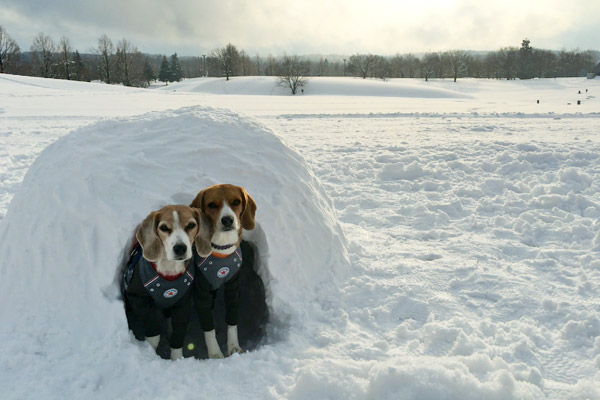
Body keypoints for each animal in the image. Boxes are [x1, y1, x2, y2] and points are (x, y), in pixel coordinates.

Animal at [122, 206, 211, 360]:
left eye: (191, 225)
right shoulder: (138, 299)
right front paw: (151, 353)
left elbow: (178, 335)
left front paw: (177, 359)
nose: (180, 248)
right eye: (163, 227)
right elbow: (153, 333)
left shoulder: (182, 304)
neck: (169, 268)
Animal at [191, 184, 256, 360]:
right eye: (212, 205)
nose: (227, 220)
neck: (221, 250)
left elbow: (232, 320)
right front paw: (215, 353)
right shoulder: (201, 293)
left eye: (236, 202)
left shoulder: (233, 288)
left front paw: (234, 347)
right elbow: (208, 328)